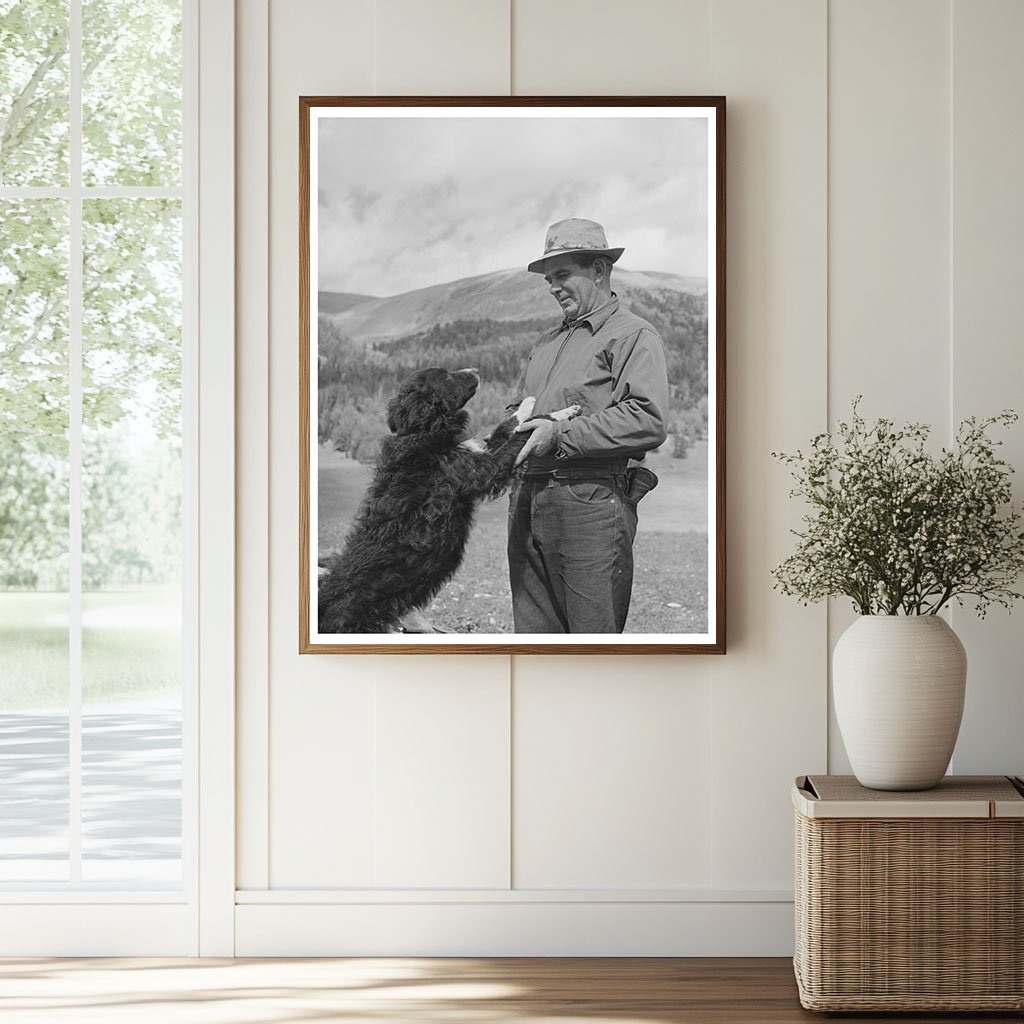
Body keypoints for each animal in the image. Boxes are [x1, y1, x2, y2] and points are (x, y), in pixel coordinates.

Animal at [317, 364, 573, 634]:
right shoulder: (484, 469)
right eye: (447, 375)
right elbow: (519, 436)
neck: (424, 432)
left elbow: (507, 426)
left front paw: (541, 406)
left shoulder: (481, 453)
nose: (476, 369)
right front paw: (553, 413)